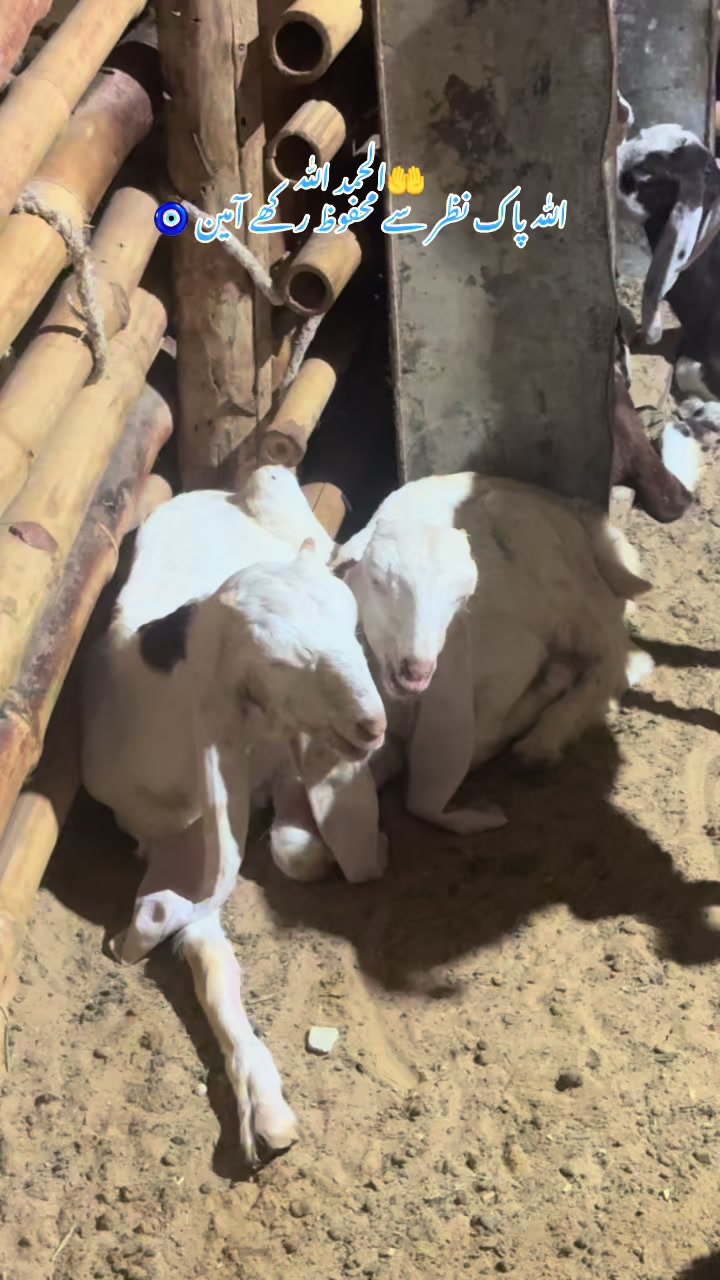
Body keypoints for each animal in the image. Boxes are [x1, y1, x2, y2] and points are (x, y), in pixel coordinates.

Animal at [81, 487, 387, 1163]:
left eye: (355, 623)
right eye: (276, 663)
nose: (373, 724)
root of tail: (223, 491)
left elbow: (294, 849)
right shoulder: (170, 839)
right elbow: (210, 957)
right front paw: (262, 1108)